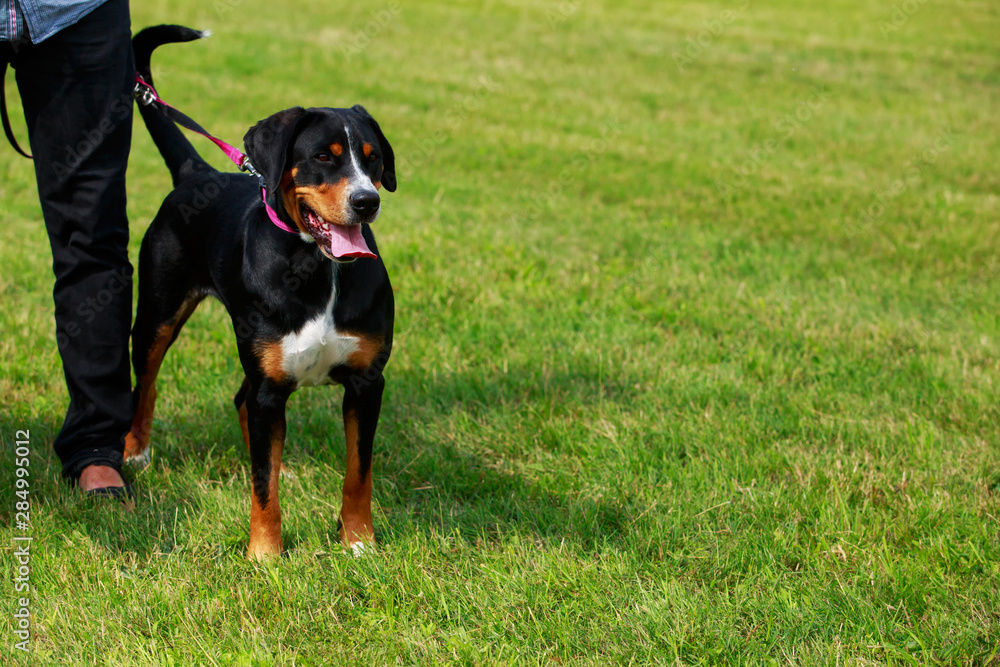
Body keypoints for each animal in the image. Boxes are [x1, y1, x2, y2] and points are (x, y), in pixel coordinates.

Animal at [129, 26, 398, 560]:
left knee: (243, 407)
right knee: (144, 385)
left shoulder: (365, 382)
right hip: (156, 316)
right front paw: (264, 554)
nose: (367, 200)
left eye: (374, 158)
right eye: (323, 156)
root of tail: (199, 173)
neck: (320, 269)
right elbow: (261, 485)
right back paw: (134, 454)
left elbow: (358, 473)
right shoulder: (270, 387)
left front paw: (359, 542)